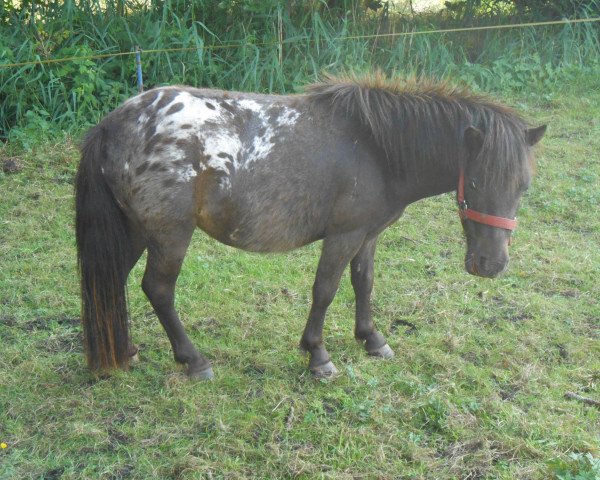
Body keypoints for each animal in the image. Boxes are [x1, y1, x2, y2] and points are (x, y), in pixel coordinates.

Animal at [74, 73, 544, 378]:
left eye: (523, 185)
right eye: (476, 181)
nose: (491, 265)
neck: (376, 148)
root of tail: (111, 124)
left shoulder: (368, 234)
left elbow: (363, 282)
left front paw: (371, 339)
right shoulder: (343, 235)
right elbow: (326, 290)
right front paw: (318, 355)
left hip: (138, 232)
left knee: (115, 280)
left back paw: (125, 351)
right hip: (170, 235)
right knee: (158, 289)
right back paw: (194, 361)